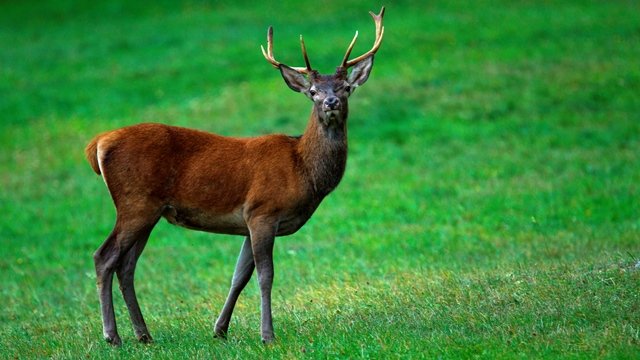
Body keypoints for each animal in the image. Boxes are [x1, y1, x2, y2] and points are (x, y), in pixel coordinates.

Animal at [85, 7, 384, 344]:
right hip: (135, 202)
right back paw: (112, 336)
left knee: (126, 266)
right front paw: (267, 335)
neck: (302, 169)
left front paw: (220, 329)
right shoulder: (263, 211)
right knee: (104, 257)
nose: (331, 102)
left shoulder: (248, 222)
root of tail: (98, 144)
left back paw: (143, 334)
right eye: (312, 91)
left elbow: (239, 276)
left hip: (149, 210)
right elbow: (265, 276)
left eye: (345, 88)